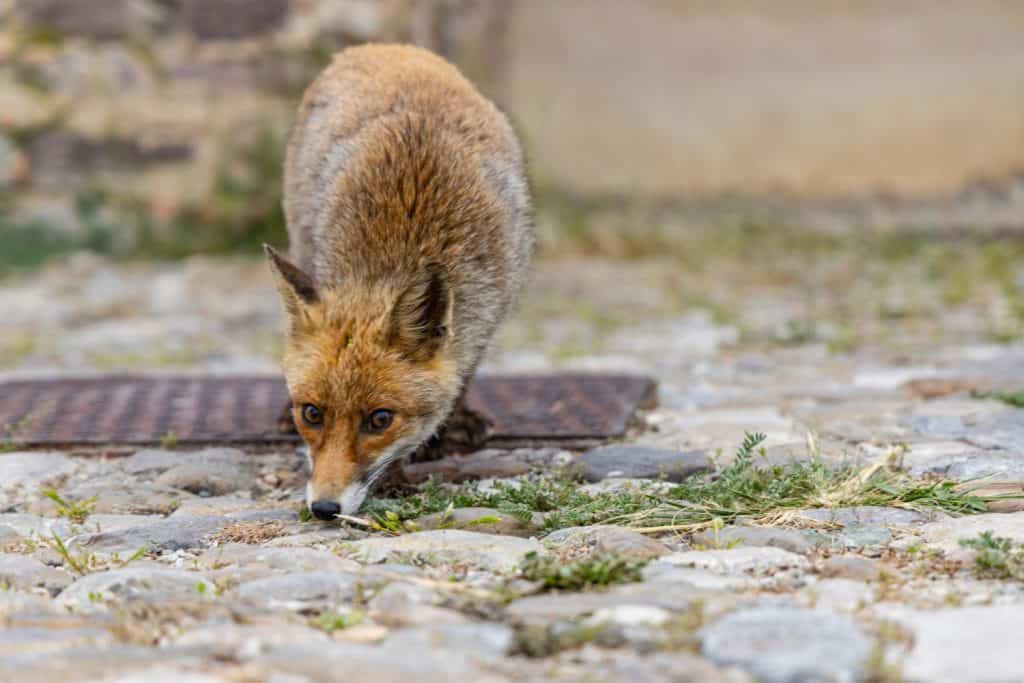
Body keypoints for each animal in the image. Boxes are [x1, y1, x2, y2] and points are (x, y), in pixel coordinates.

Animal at [264, 44, 533, 520]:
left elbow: (461, 374)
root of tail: (381, 47)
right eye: (312, 414)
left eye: (380, 420)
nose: (325, 508)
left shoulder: (490, 308)